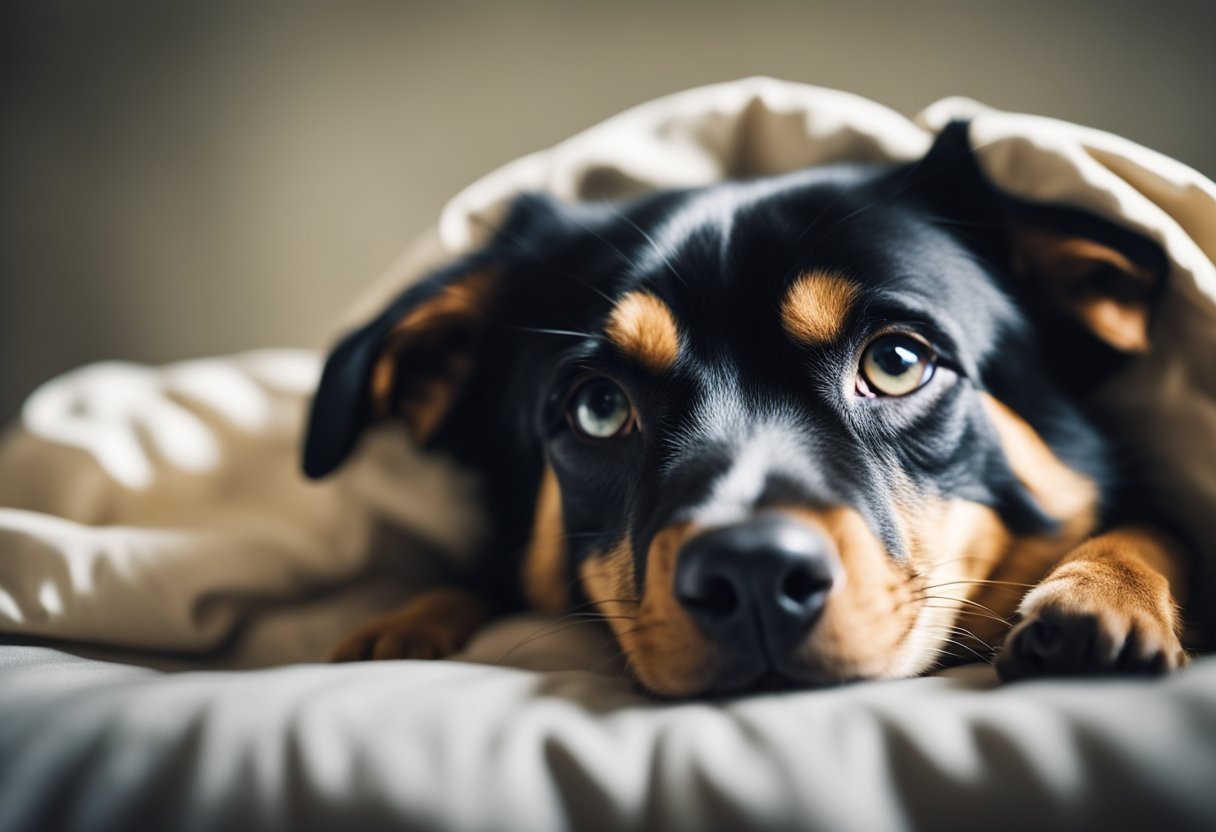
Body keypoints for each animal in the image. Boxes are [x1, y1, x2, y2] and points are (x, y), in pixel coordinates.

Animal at [299, 123, 1191, 695]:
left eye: (897, 362)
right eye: (598, 406)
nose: (754, 573)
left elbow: (1155, 525)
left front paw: (1102, 594)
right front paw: (400, 629)